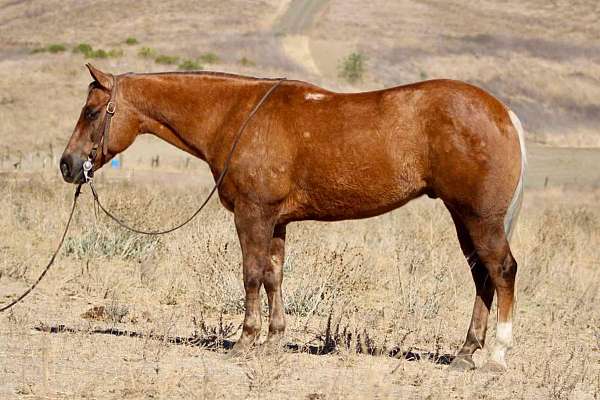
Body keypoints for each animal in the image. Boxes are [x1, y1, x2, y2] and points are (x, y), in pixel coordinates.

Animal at [61, 65, 524, 368]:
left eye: (91, 111)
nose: (68, 165)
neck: (236, 115)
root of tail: (503, 113)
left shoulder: (252, 215)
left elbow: (250, 274)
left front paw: (245, 341)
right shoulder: (276, 222)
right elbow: (273, 276)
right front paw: (274, 341)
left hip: (479, 218)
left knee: (502, 271)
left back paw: (497, 354)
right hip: (463, 218)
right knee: (481, 276)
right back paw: (465, 353)